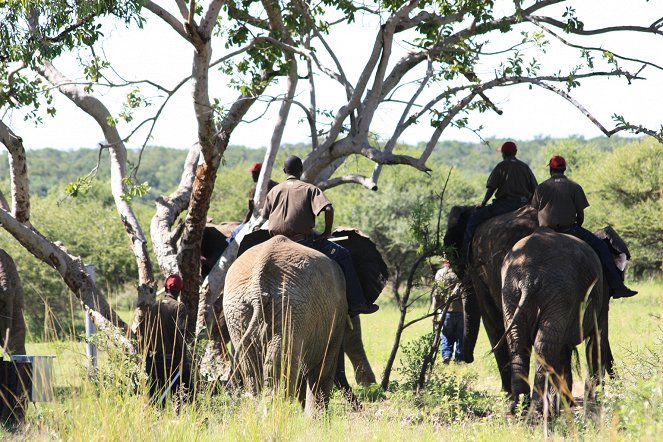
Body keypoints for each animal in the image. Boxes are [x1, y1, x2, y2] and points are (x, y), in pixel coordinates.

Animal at [224, 237, 348, 412]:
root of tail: (257, 288)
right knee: (280, 364)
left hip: (239, 311)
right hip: (291, 307)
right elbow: (323, 368)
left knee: (251, 367)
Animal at [504, 230, 616, 412]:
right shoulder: (602, 295)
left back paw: (519, 408)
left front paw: (563, 402)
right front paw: (589, 400)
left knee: (518, 344)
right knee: (544, 346)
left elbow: (564, 352)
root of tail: (529, 279)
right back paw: (537, 409)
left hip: (512, 292)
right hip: (558, 290)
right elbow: (596, 340)